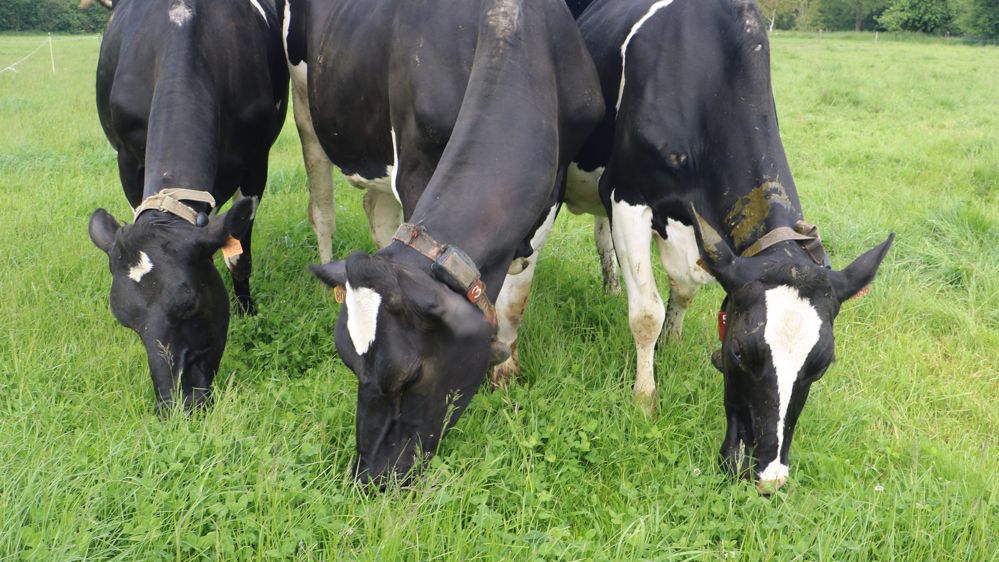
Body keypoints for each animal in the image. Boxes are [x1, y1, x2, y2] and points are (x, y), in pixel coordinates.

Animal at [87, 0, 288, 411]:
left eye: (191, 303)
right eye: (126, 320)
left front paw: (247, 311)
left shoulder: (256, 161)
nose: (175, 402)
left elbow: (239, 256)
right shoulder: (127, 160)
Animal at [293, 0, 604, 485]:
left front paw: (505, 375)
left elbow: (515, 299)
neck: (508, 24)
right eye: (347, 362)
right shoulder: (415, 165)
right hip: (306, 105)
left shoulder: (552, 187)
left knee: (375, 208)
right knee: (322, 203)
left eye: (408, 377)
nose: (370, 477)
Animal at [560, 0, 893, 492]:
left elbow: (683, 291)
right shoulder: (627, 194)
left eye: (822, 364)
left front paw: (673, 341)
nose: (768, 474)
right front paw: (645, 398)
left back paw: (609, 285)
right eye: (739, 351)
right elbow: (646, 313)